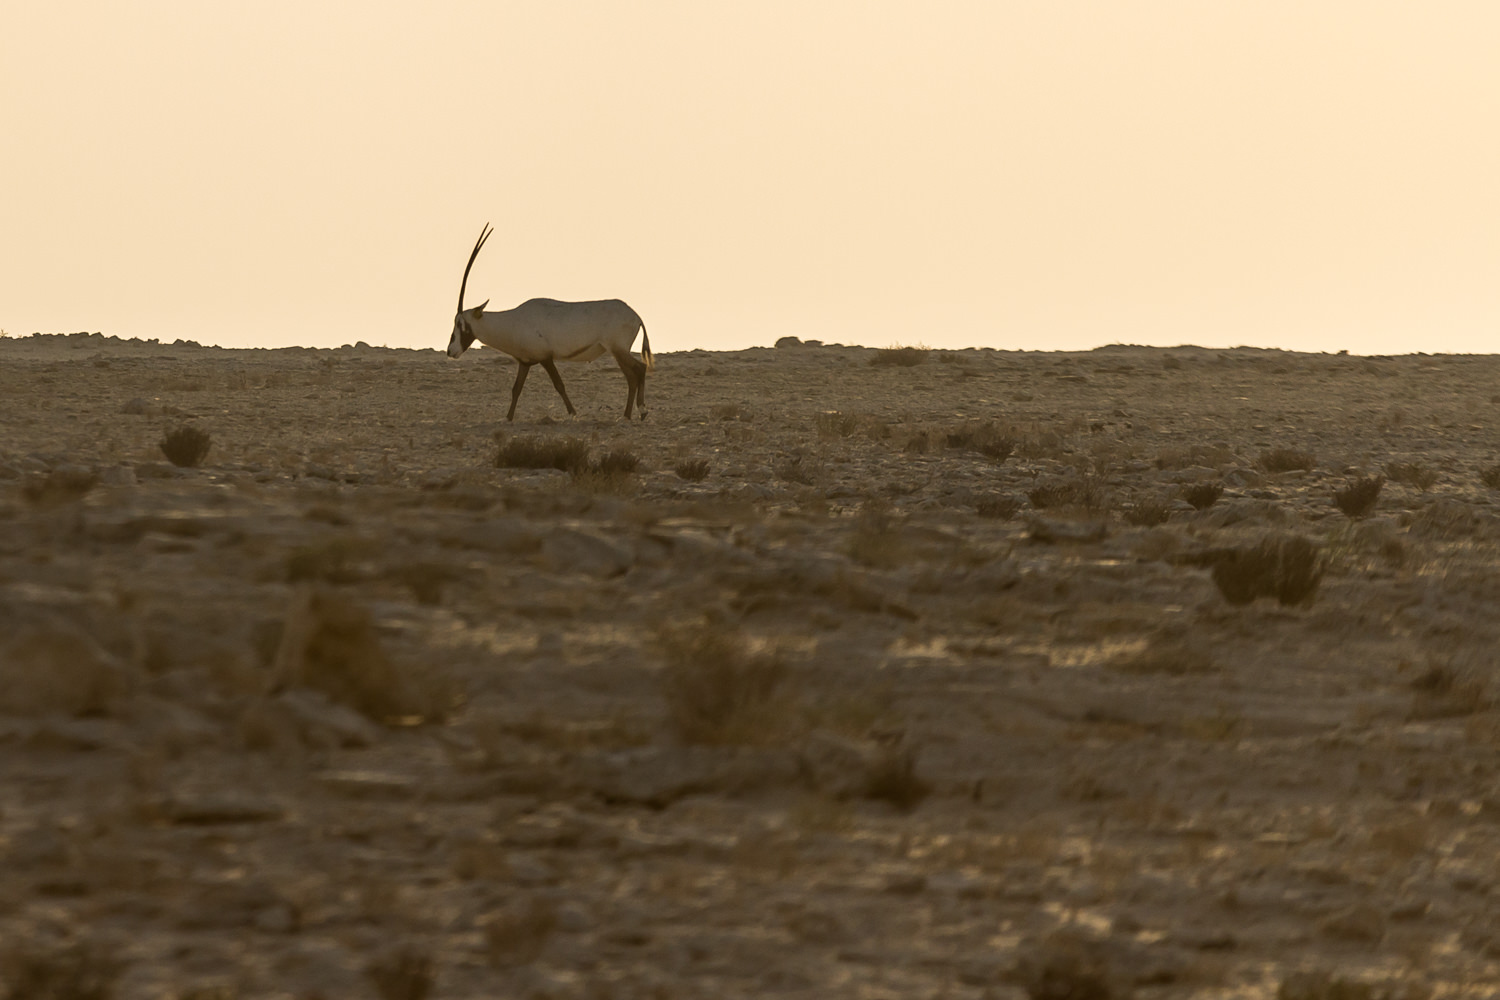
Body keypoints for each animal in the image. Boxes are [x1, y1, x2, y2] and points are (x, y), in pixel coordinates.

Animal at [444, 221, 657, 419]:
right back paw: (632, 413)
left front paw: (573, 413)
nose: (450, 351)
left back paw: (637, 412)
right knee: (634, 373)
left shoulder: (545, 358)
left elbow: (559, 384)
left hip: (617, 349)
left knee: (637, 370)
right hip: (617, 350)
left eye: (461, 324)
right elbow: (516, 389)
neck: (513, 320)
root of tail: (636, 316)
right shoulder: (525, 362)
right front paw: (508, 418)